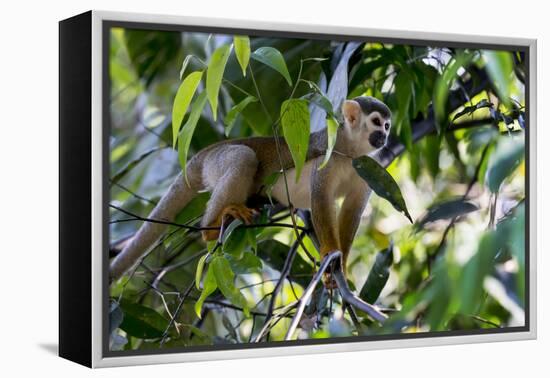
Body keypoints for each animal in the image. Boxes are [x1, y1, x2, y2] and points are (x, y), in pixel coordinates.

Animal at [110, 96, 392, 286]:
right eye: (376, 122)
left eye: (387, 125)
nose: (384, 137)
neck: (351, 151)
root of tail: (204, 153)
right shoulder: (328, 154)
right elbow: (320, 197)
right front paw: (329, 253)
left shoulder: (369, 166)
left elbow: (352, 209)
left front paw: (341, 264)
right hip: (218, 161)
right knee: (244, 157)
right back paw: (211, 228)